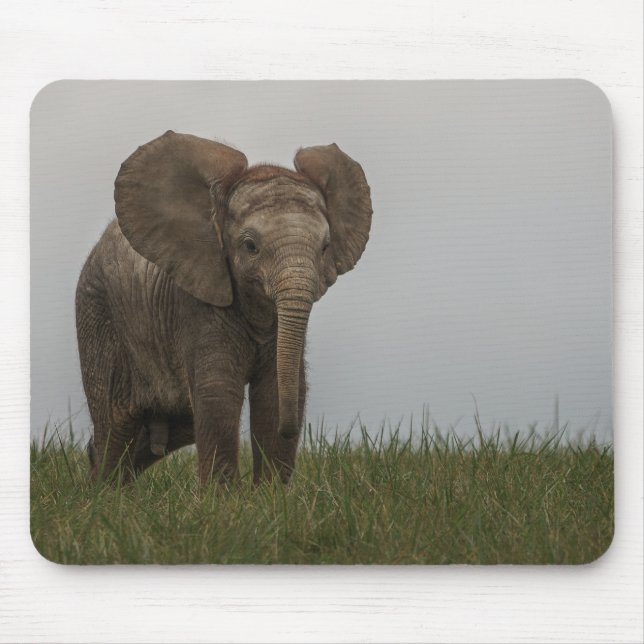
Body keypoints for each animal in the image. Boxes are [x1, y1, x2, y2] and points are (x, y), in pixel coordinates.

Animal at [75, 131, 372, 486]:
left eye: (325, 247)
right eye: (250, 246)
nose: (289, 431)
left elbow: (273, 393)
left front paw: (271, 495)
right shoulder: (194, 302)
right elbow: (218, 392)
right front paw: (225, 499)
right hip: (97, 313)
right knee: (116, 424)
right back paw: (104, 493)